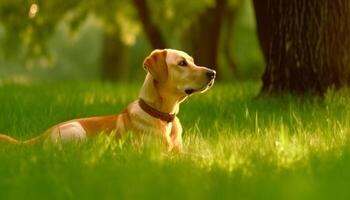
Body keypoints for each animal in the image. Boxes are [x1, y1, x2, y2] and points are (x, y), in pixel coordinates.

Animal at [0, 49, 216, 151]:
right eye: (182, 63)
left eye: (193, 61)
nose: (213, 73)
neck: (163, 117)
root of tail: (42, 134)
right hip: (76, 131)